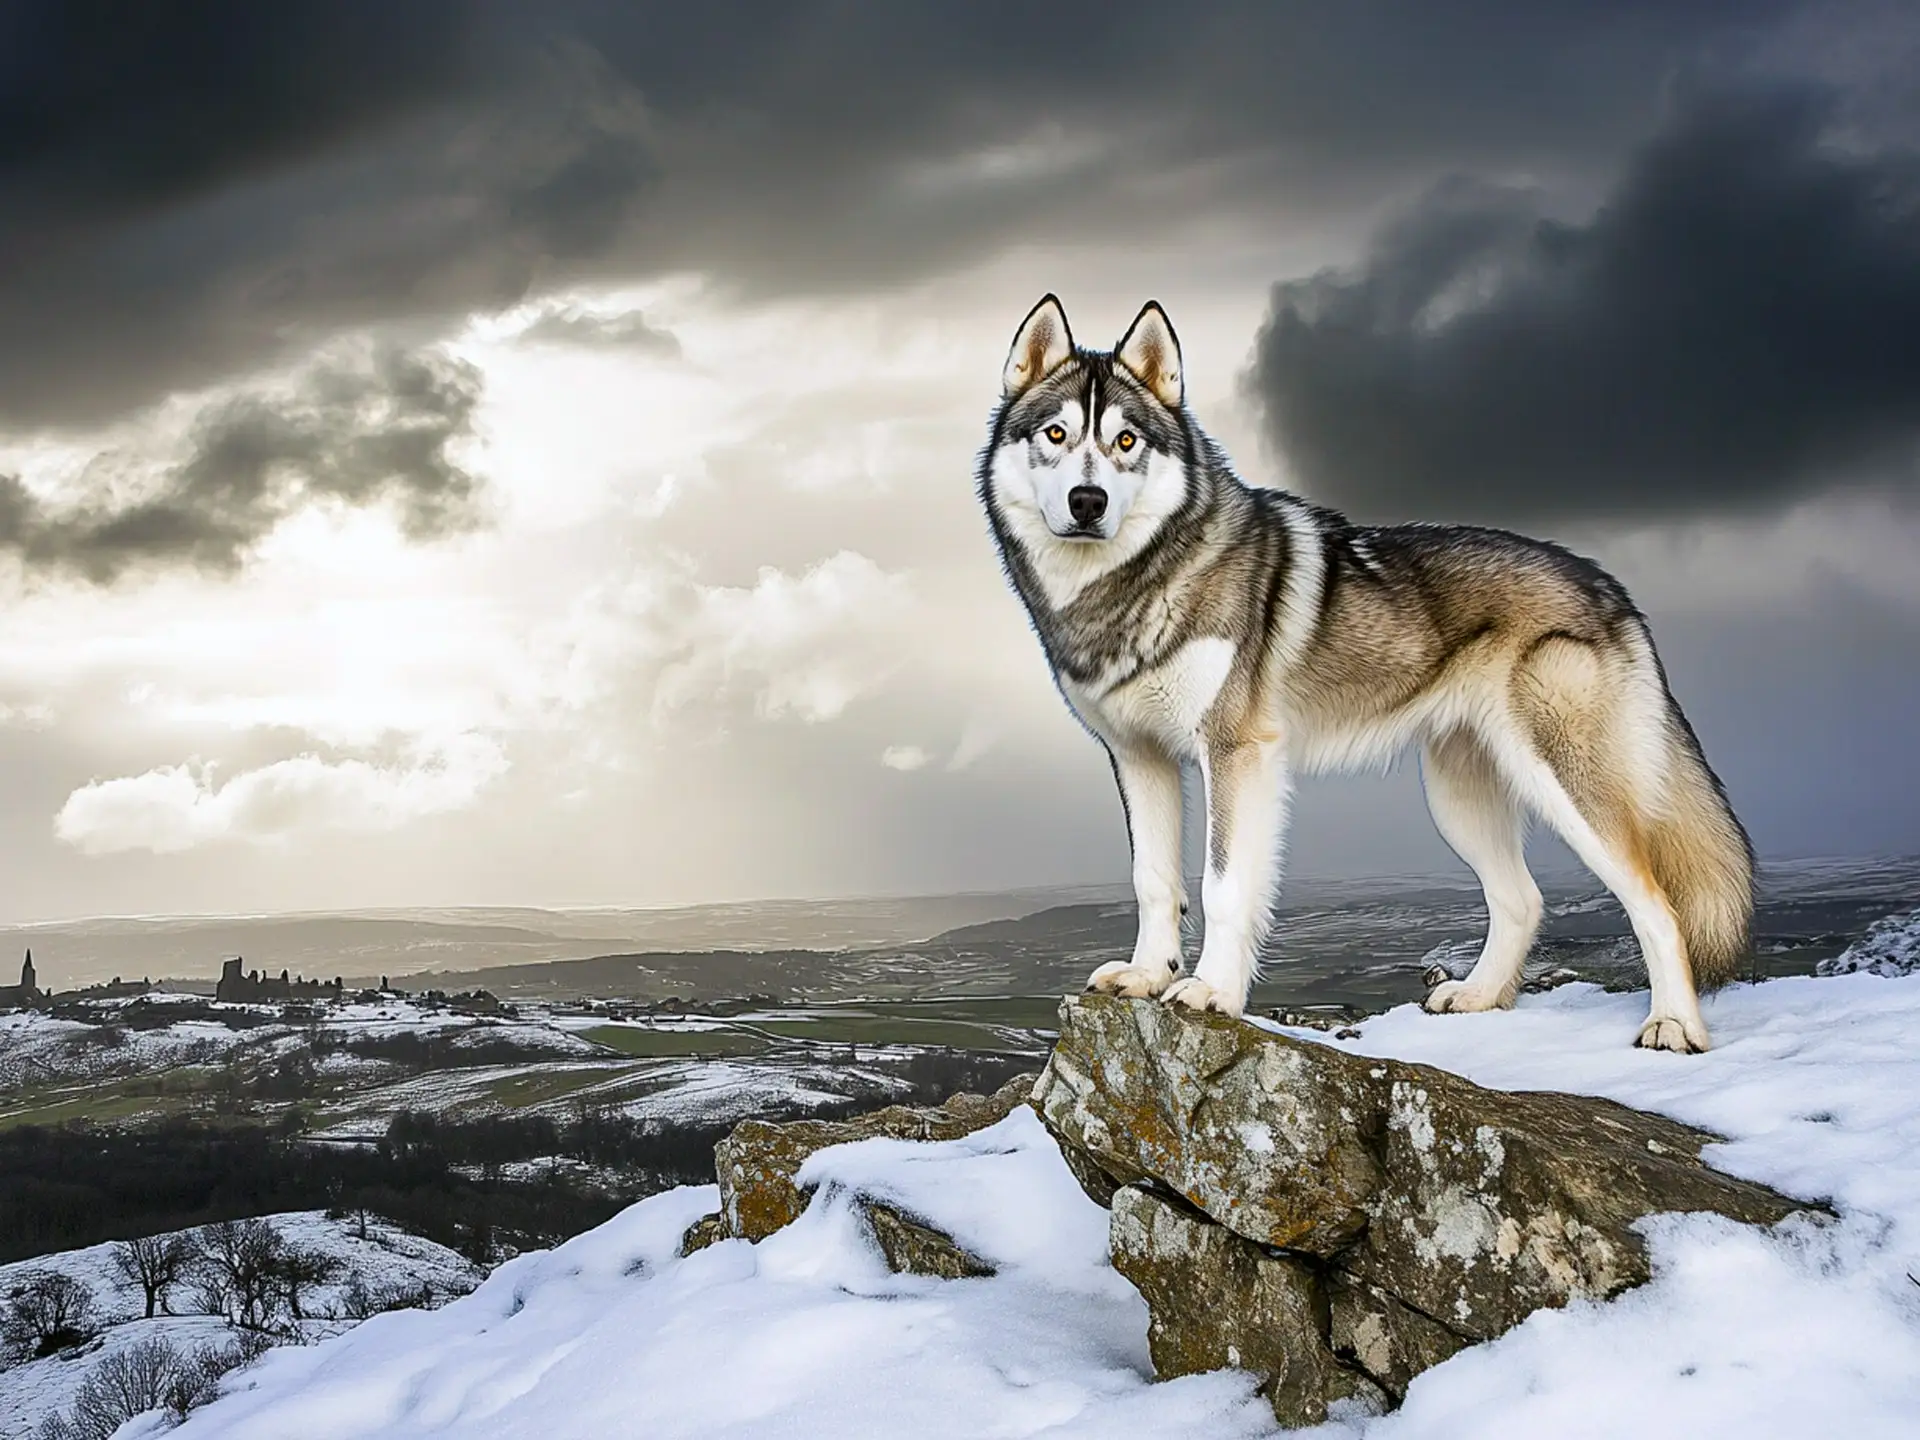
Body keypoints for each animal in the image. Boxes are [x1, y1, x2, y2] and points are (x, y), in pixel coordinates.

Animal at [983, 295, 1751, 1059]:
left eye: (1125, 442)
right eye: (1056, 433)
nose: (1088, 502)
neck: (1132, 586)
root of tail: (1604, 581)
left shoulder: (1235, 754)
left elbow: (1223, 887)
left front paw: (1211, 992)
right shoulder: (1139, 758)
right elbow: (1152, 880)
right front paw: (1148, 975)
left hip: (1564, 784)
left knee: (1656, 901)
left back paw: (1673, 1025)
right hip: (1456, 798)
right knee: (1523, 898)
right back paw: (1479, 996)